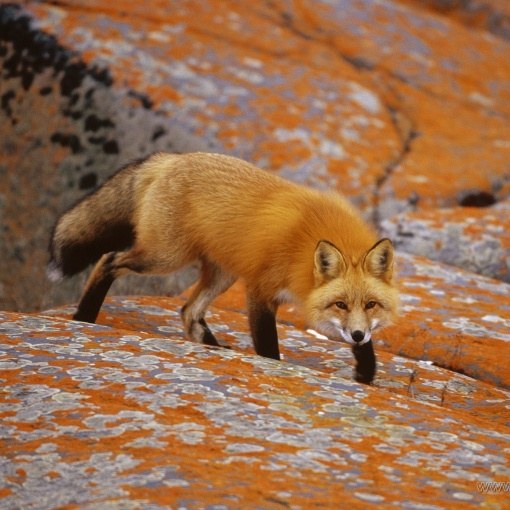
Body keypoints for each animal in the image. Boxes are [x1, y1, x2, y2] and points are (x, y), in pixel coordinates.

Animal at [48, 151, 398, 382]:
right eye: (340, 304)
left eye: (371, 304)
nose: (356, 334)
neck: (306, 246)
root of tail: (171, 158)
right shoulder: (260, 289)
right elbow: (267, 345)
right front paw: (273, 367)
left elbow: (368, 346)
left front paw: (366, 371)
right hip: (164, 257)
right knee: (108, 260)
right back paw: (84, 316)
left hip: (222, 273)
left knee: (189, 311)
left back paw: (215, 350)